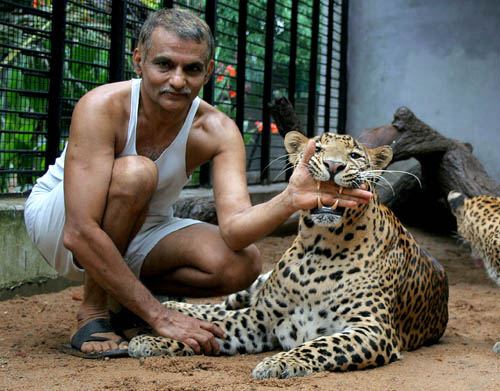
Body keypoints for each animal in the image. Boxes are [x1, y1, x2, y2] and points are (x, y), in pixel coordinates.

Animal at [129, 132, 450, 380]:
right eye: (318, 149)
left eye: (355, 155)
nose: (334, 165)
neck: (321, 249)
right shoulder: (259, 319)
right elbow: (221, 326)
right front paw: (153, 340)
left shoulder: (372, 328)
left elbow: (320, 345)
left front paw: (278, 362)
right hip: (256, 286)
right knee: (224, 306)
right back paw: (175, 308)